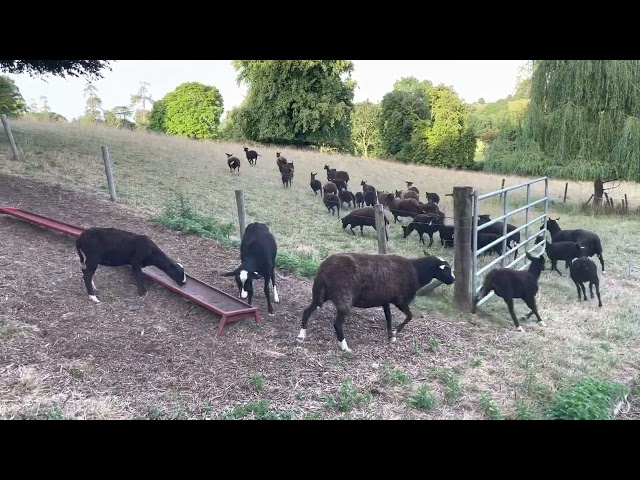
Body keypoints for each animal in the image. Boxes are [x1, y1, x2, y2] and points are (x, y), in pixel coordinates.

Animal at [298, 251, 458, 352]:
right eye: (447, 269)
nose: (453, 280)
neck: (417, 271)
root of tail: (323, 269)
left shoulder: (385, 300)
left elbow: (389, 318)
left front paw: (390, 336)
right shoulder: (400, 300)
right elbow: (409, 316)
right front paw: (396, 332)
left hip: (320, 294)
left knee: (307, 311)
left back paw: (301, 335)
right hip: (344, 297)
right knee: (337, 324)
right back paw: (345, 347)